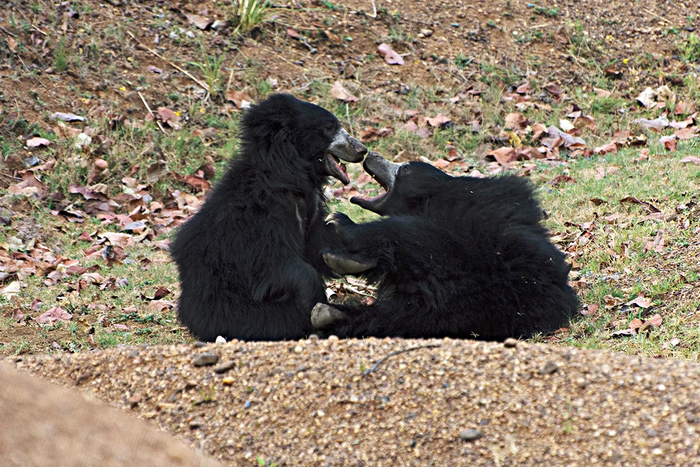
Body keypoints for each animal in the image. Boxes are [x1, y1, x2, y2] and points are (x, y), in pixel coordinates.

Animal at [171, 94, 366, 344]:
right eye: (328, 128)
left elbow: (318, 243)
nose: (362, 150)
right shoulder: (261, 217)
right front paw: (315, 303)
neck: (290, 176)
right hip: (233, 310)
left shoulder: (310, 212)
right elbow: (271, 261)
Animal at [312, 154, 576, 340]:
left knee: (410, 235)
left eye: (405, 168)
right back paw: (330, 315)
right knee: (394, 318)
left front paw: (339, 223)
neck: (430, 198)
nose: (370, 155)